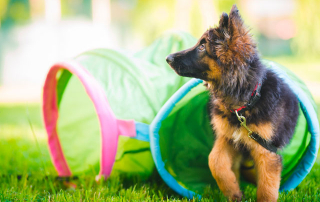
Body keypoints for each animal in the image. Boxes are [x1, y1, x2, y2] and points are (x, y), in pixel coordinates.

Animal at [166, 4, 298, 202]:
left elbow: (267, 188)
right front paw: (233, 191)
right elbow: (214, 161)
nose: (168, 58)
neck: (243, 105)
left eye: (202, 46)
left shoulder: (266, 151)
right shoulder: (227, 137)